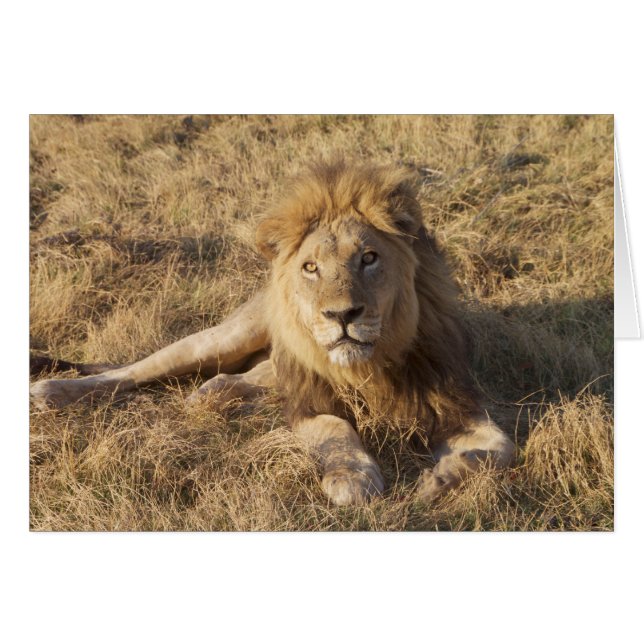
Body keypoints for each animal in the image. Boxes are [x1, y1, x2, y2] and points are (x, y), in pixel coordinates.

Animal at [30, 159, 514, 506]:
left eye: (369, 258)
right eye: (311, 267)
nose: (342, 315)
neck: (369, 366)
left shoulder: (456, 403)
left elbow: (501, 451)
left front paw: (441, 479)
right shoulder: (309, 404)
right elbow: (336, 430)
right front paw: (352, 478)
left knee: (237, 378)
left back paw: (211, 397)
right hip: (220, 340)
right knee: (130, 372)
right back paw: (52, 390)